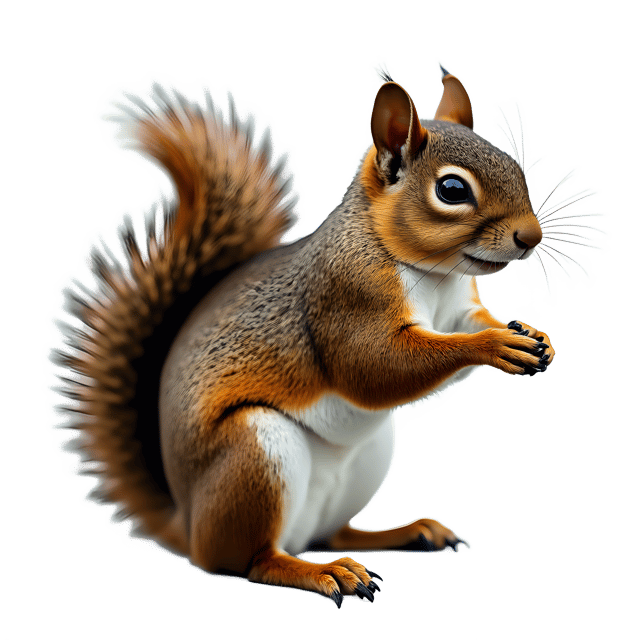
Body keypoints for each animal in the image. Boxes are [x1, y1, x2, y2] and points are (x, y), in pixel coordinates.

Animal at [45, 61, 555, 608]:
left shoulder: (459, 307)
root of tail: (188, 522)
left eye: (515, 166)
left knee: (330, 532)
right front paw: (495, 345)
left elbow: (470, 324)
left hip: (366, 460)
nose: (531, 237)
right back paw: (323, 572)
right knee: (249, 560)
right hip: (254, 455)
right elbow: (373, 367)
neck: (434, 274)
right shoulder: (344, 297)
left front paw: (530, 336)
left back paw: (407, 534)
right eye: (453, 191)